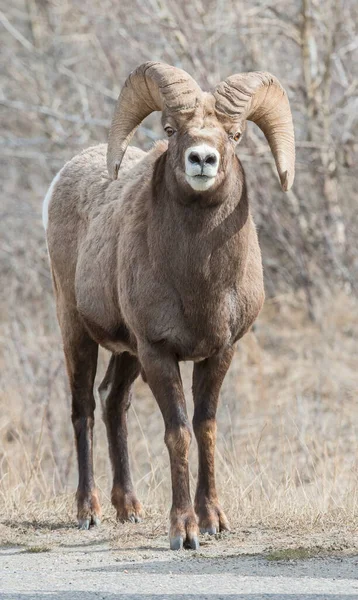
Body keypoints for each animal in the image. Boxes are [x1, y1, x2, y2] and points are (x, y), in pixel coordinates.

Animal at [43, 61, 294, 548]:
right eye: (171, 129)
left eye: (235, 134)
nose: (202, 160)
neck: (199, 285)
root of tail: (61, 179)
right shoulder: (159, 352)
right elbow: (177, 433)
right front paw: (184, 530)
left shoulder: (218, 353)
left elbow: (205, 428)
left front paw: (213, 519)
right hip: (76, 330)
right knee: (83, 409)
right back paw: (89, 511)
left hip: (127, 352)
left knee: (112, 402)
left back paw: (129, 508)